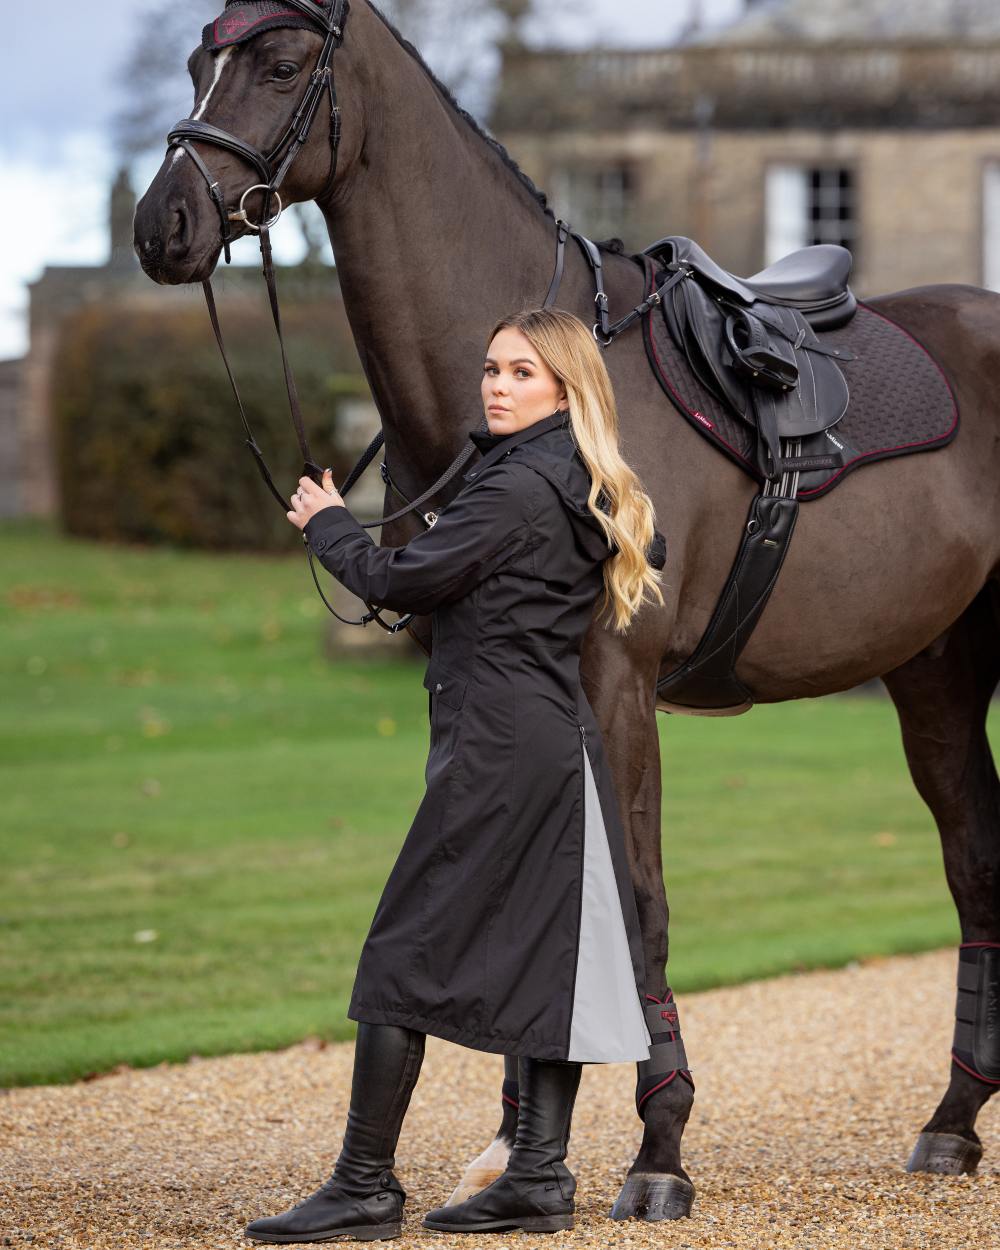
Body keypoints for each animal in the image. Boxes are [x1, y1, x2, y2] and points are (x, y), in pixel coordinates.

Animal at [132, 0, 1000, 1220]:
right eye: (196, 59)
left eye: (285, 62)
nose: (161, 224)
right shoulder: (485, 684)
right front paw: (515, 1148)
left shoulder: (616, 684)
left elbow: (633, 901)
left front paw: (659, 1147)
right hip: (934, 670)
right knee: (975, 862)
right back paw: (952, 1118)